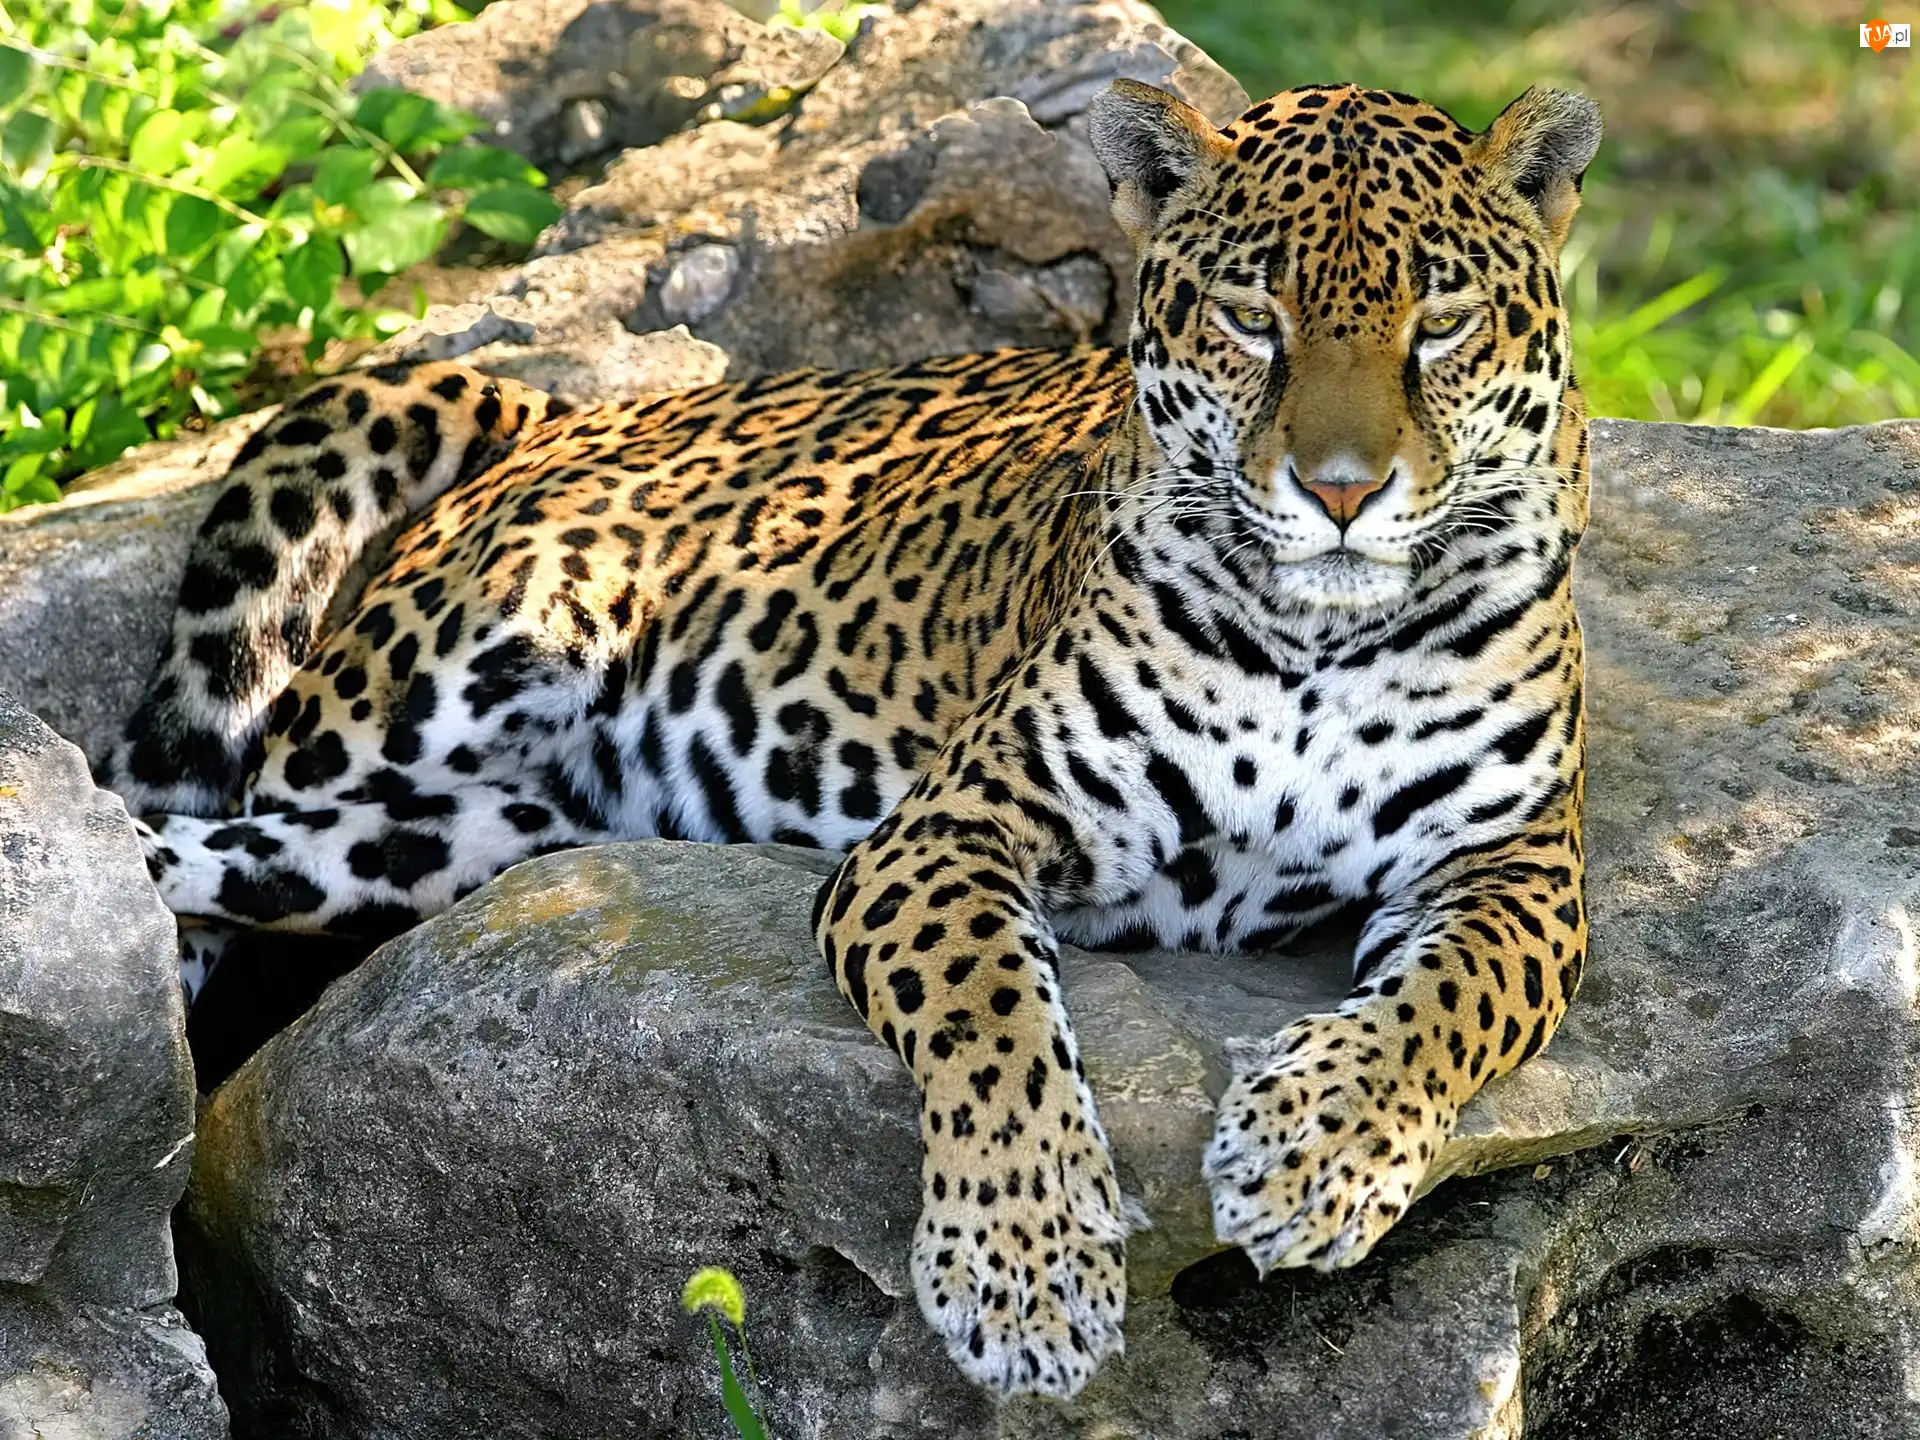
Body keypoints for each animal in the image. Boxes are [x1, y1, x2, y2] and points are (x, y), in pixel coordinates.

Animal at [103, 79, 1601, 1400]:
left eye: (1441, 321)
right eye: (1251, 317)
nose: (1342, 491)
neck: (1314, 642)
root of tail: (578, 406)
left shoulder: (1520, 871)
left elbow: (1446, 1006)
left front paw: (1311, 1162)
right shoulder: (948, 831)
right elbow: (995, 1018)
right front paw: (1026, 1276)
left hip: (445, 843)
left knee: (202, 853)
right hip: (415, 695)